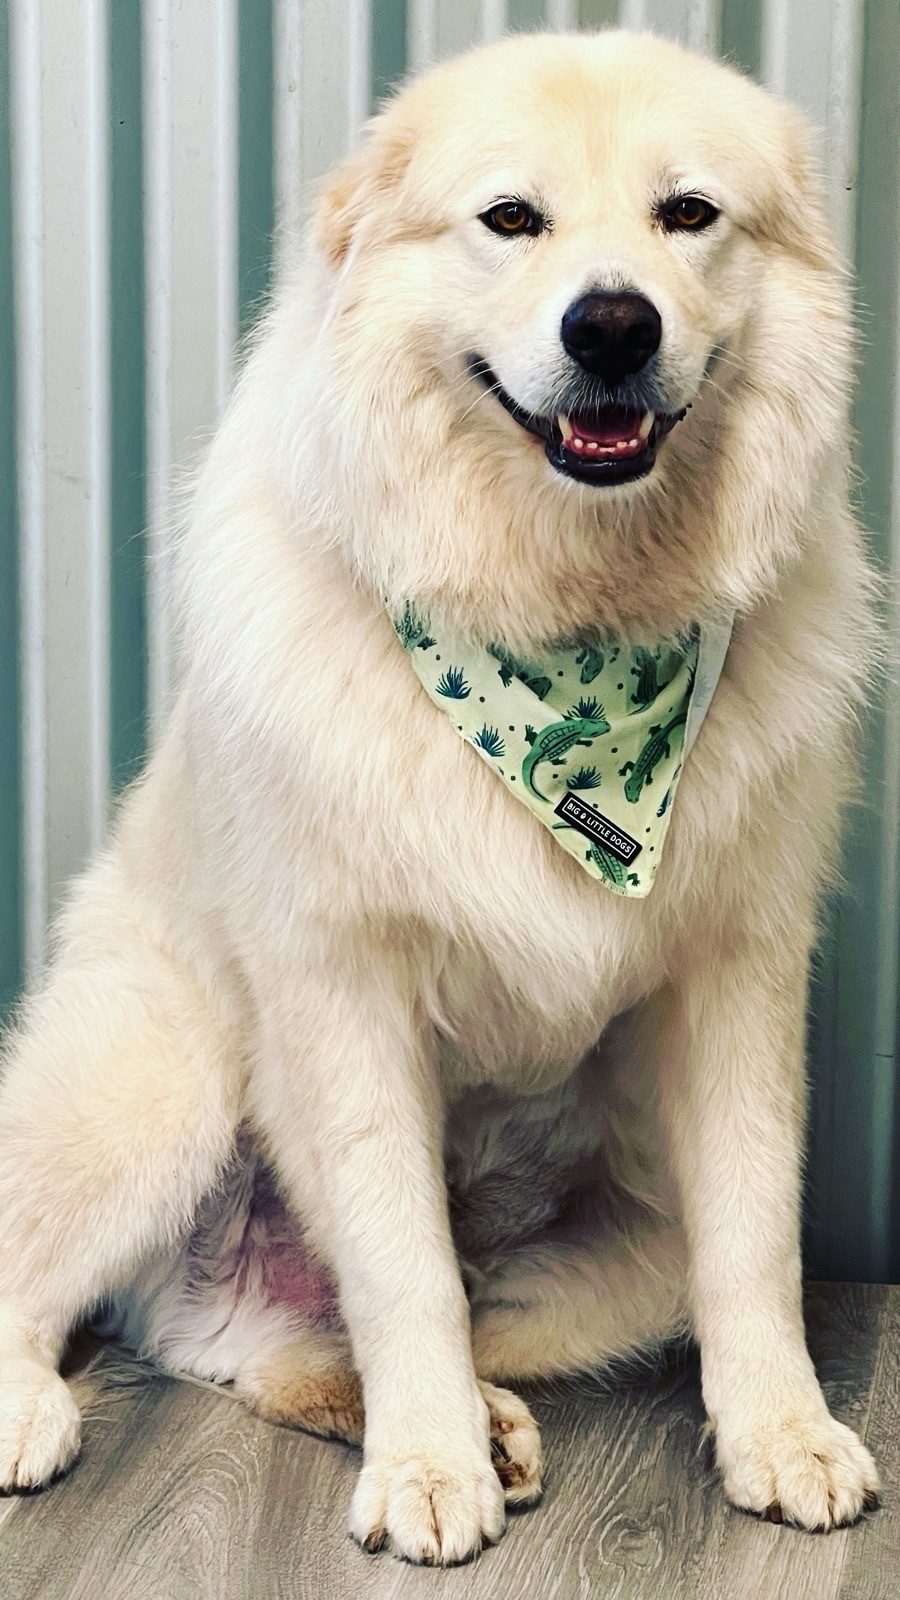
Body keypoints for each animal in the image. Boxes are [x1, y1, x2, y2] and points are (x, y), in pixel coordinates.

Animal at [0, 29, 880, 1563]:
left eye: (688, 215)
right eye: (510, 220)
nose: (612, 327)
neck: (561, 632)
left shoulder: (740, 981)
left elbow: (756, 1242)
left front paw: (782, 1434)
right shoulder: (345, 998)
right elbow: (401, 1261)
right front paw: (424, 1470)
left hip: (619, 1243)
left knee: (342, 1337)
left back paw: (485, 1423)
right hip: (157, 1088)